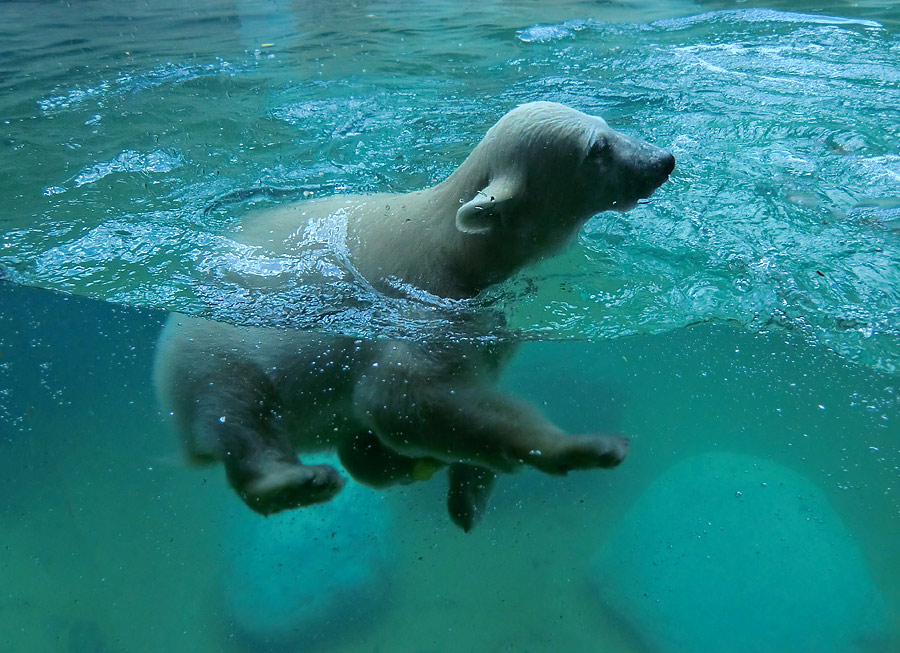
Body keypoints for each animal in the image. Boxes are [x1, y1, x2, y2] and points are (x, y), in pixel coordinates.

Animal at [156, 102, 676, 528]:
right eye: (597, 149)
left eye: (607, 126)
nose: (662, 161)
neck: (456, 248)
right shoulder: (415, 311)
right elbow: (404, 398)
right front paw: (583, 447)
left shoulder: (486, 323)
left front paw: (468, 493)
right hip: (210, 353)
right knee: (242, 414)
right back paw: (300, 480)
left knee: (348, 440)